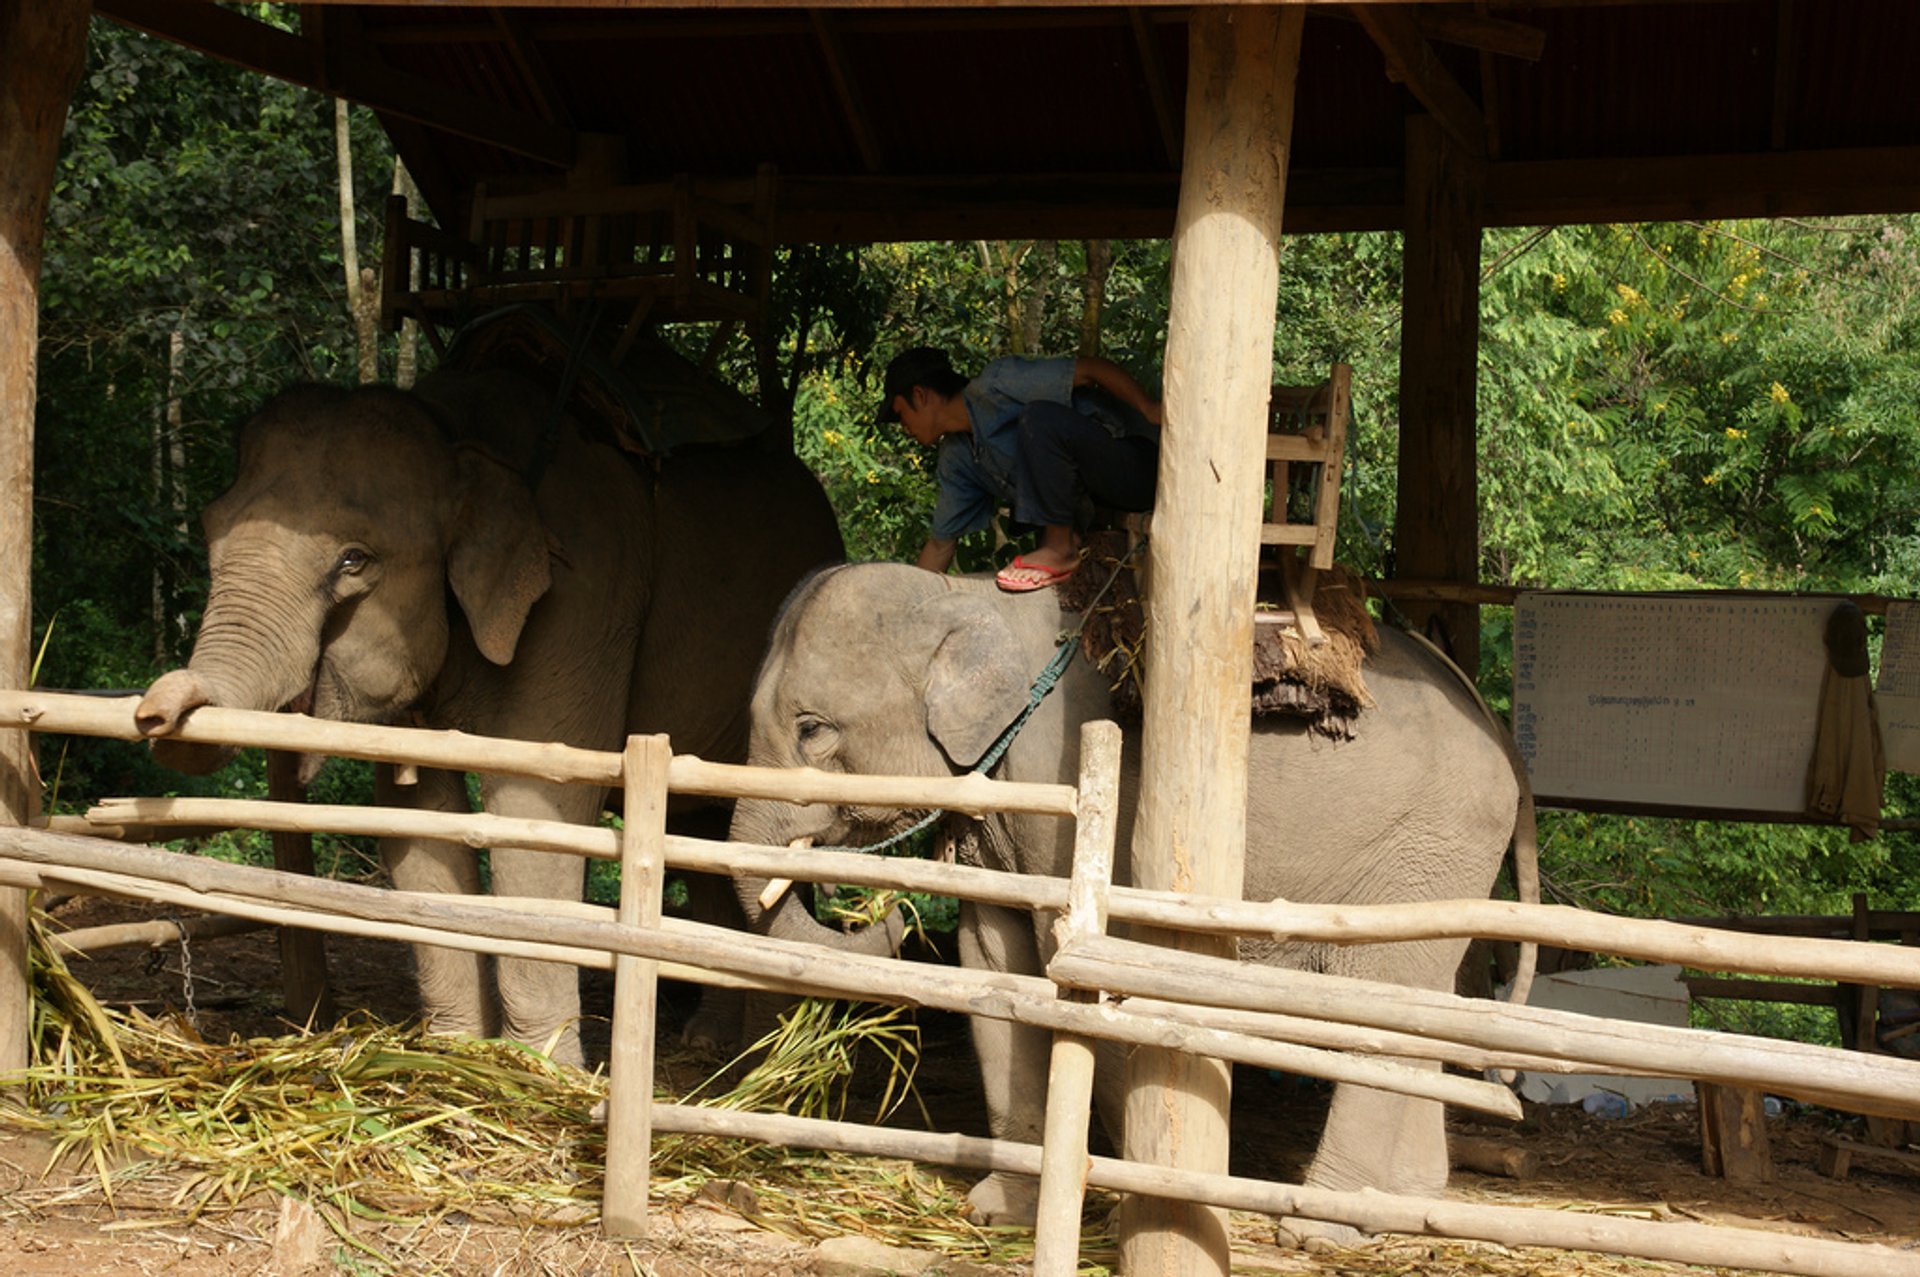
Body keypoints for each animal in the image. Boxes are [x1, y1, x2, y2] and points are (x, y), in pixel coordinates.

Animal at [139, 366, 844, 1067]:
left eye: (353, 560)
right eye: (210, 527)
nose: (155, 711)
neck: (456, 430)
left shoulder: (586, 598)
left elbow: (534, 810)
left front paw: (544, 1068)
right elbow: (417, 818)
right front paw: (454, 1050)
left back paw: (761, 1053)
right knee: (702, 832)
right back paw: (711, 1039)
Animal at [725, 560, 1536, 1236]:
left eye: (812, 730)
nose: (882, 914)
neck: (965, 593)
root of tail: (1500, 732)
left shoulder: (1069, 781)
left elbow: (1091, 966)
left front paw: (1132, 1207)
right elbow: (994, 963)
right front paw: (999, 1211)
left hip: (1427, 844)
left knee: (1380, 1008)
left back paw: (1320, 1228)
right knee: (1419, 1010)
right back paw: (1401, 1210)